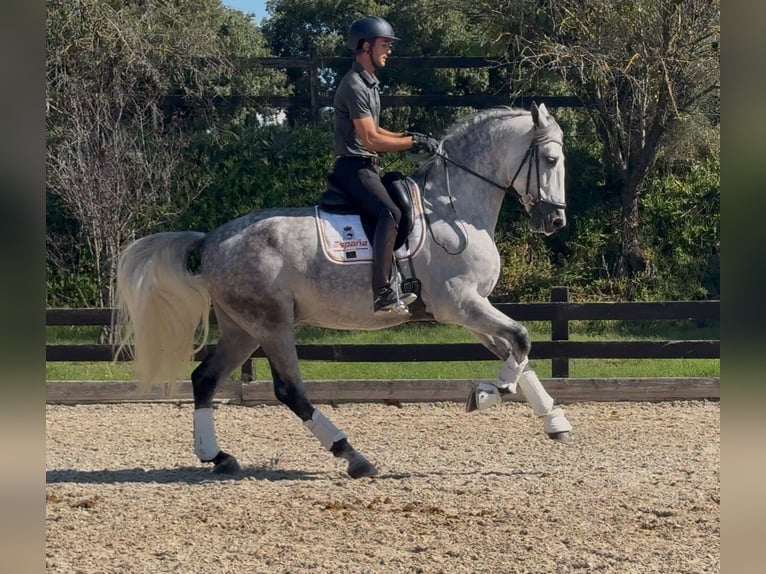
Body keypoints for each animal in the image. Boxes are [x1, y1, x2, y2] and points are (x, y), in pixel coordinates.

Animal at [115, 102, 573, 479]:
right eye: (550, 160)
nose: (555, 222)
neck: (453, 208)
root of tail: (211, 239)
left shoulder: (472, 308)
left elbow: (518, 352)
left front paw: (554, 421)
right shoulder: (460, 304)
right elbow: (522, 339)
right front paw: (487, 394)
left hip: (242, 328)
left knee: (205, 379)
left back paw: (218, 456)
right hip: (271, 325)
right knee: (290, 390)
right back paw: (352, 456)